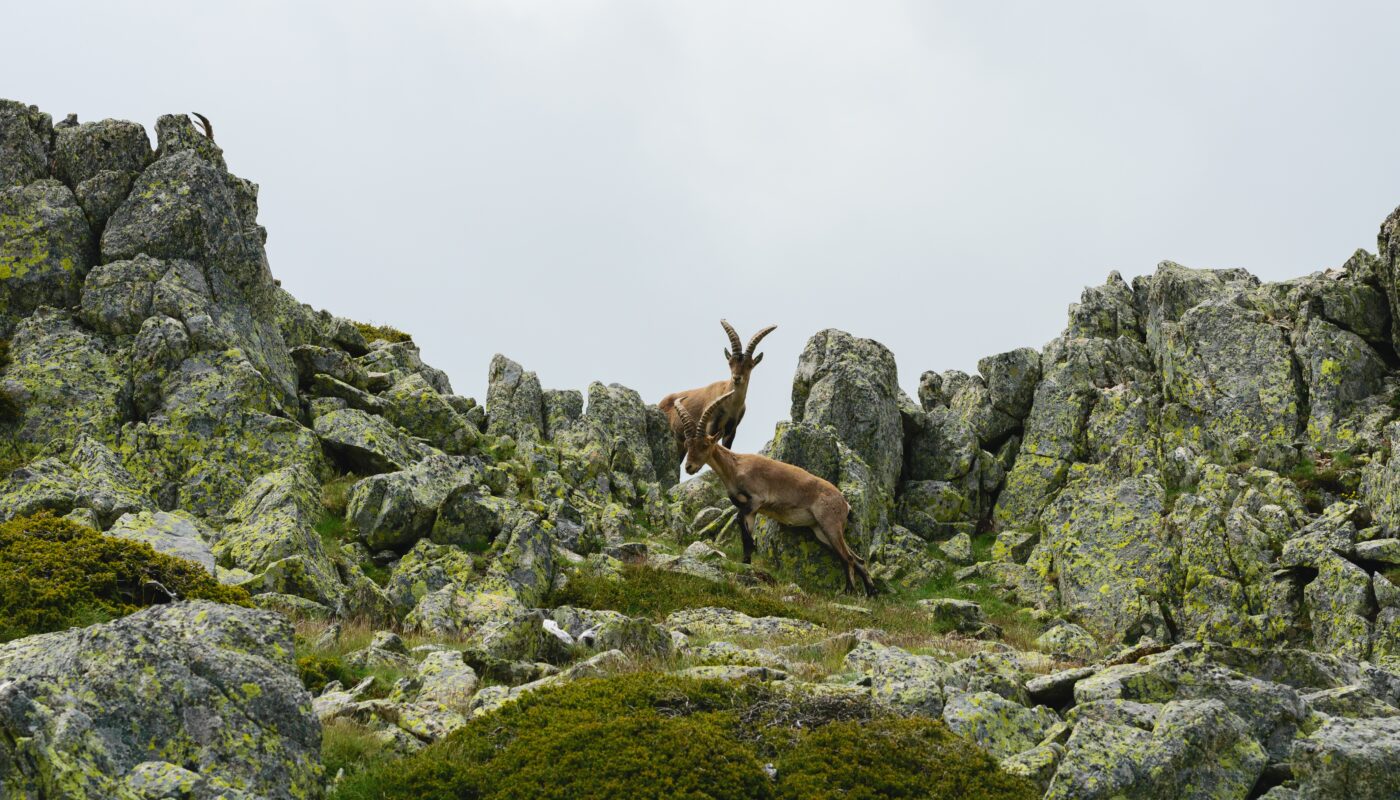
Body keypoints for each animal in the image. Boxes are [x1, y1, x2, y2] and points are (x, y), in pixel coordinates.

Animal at [659, 320, 775, 449]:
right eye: (730, 362)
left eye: (750, 365)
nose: (736, 378)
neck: (730, 405)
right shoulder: (711, 425)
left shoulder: (731, 430)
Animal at [674, 391, 876, 596]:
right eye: (687, 443)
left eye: (705, 444)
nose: (689, 467)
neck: (734, 467)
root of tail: (844, 503)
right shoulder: (750, 509)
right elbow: (745, 536)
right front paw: (746, 565)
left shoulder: (756, 499)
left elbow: (740, 523)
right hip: (821, 530)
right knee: (857, 559)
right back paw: (871, 593)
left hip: (830, 524)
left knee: (847, 558)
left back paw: (849, 591)